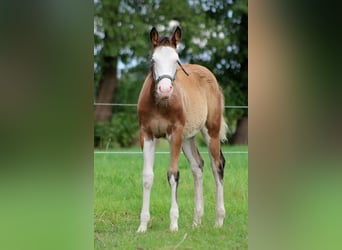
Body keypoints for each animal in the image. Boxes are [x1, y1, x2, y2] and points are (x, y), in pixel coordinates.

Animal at [136, 25, 227, 232]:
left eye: (176, 61)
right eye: (153, 60)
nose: (164, 89)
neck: (160, 104)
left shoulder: (174, 134)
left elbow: (173, 174)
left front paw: (173, 224)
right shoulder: (147, 135)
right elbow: (147, 177)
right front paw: (143, 225)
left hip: (211, 131)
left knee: (216, 166)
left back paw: (219, 220)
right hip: (188, 138)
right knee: (197, 166)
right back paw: (196, 221)